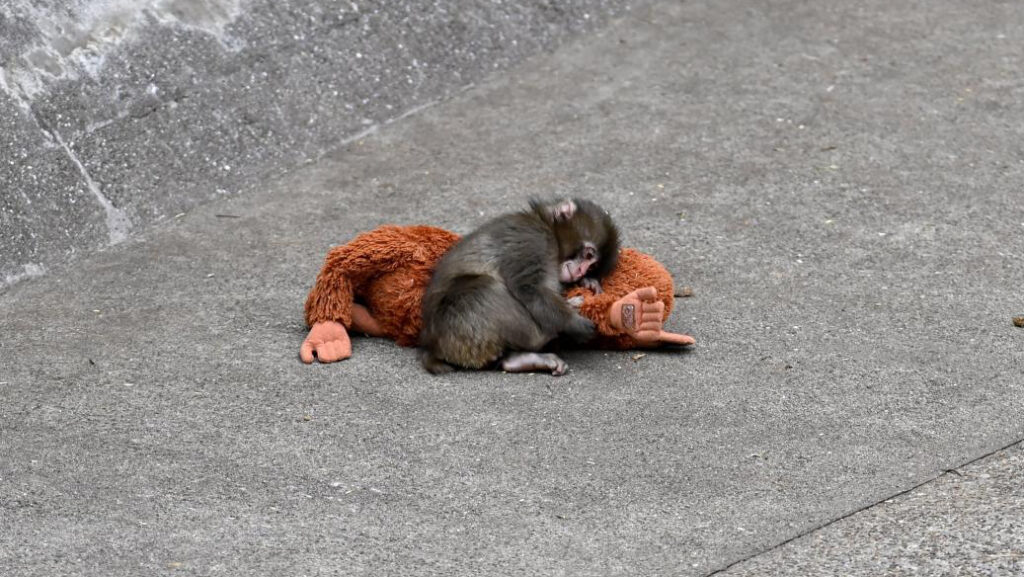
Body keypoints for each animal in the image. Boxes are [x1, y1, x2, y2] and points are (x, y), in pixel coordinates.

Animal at [419, 198, 620, 376]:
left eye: (592, 266)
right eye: (588, 255)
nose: (580, 272)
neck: (546, 226)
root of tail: (433, 346)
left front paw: (588, 283)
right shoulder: (534, 239)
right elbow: (528, 288)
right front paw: (573, 322)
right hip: (458, 328)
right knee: (484, 288)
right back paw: (547, 333)